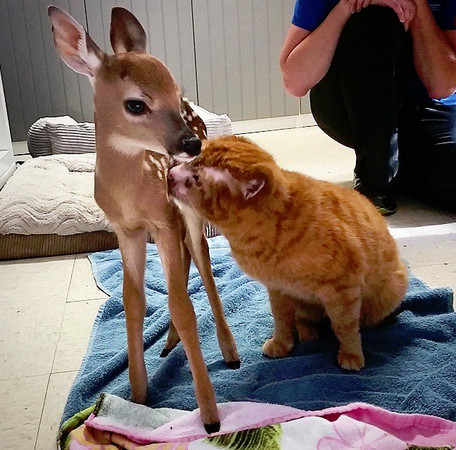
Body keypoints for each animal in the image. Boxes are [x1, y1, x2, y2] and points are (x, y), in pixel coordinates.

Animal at [47, 4, 239, 432]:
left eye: (175, 90)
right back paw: (168, 344)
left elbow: (183, 306)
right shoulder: (127, 229)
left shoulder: (164, 218)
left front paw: (210, 416)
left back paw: (229, 351)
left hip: (188, 208)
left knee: (202, 263)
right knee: (185, 265)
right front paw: (137, 397)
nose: (190, 144)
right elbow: (132, 302)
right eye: (136, 104)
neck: (129, 195)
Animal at [167, 135, 406, 370]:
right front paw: (281, 344)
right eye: (190, 161)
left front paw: (351, 354)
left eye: (196, 178)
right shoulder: (278, 289)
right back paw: (308, 333)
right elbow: (281, 319)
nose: (170, 174)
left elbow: (344, 327)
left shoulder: (343, 291)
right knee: (303, 320)